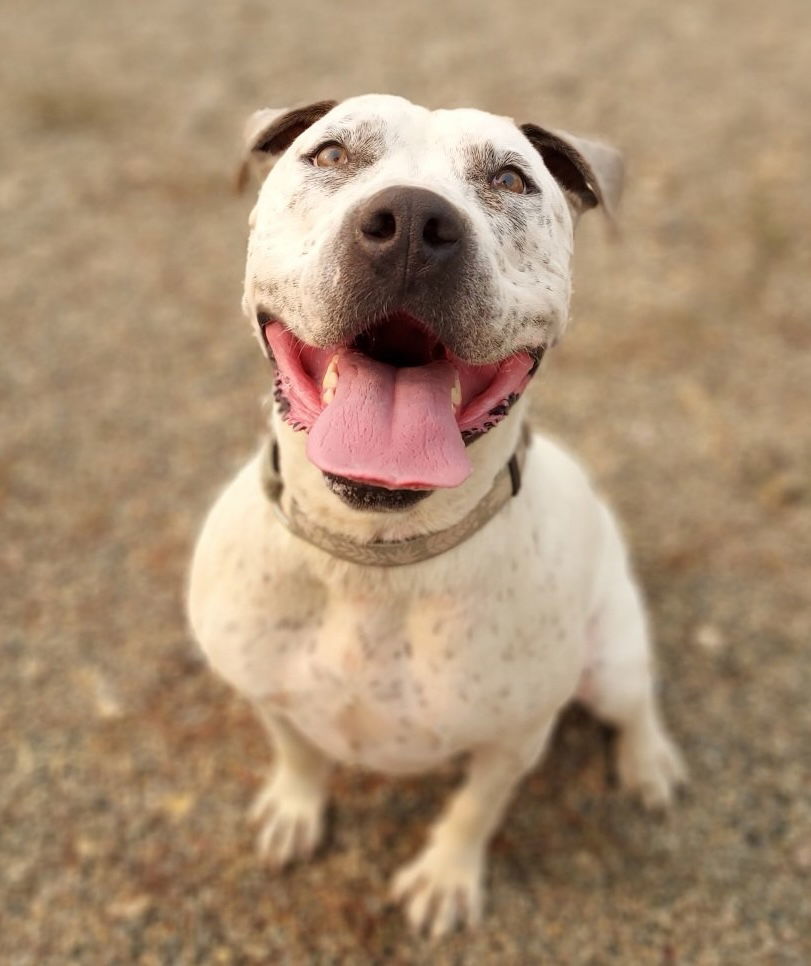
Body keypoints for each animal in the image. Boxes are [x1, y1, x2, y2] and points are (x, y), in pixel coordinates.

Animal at [189, 94, 684, 940]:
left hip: (610, 657)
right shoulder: (265, 692)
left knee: (635, 699)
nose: (414, 223)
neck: (374, 557)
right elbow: (298, 753)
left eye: (510, 179)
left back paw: (647, 761)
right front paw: (295, 808)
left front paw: (445, 877)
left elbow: (473, 810)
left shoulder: (512, 741)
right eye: (330, 155)